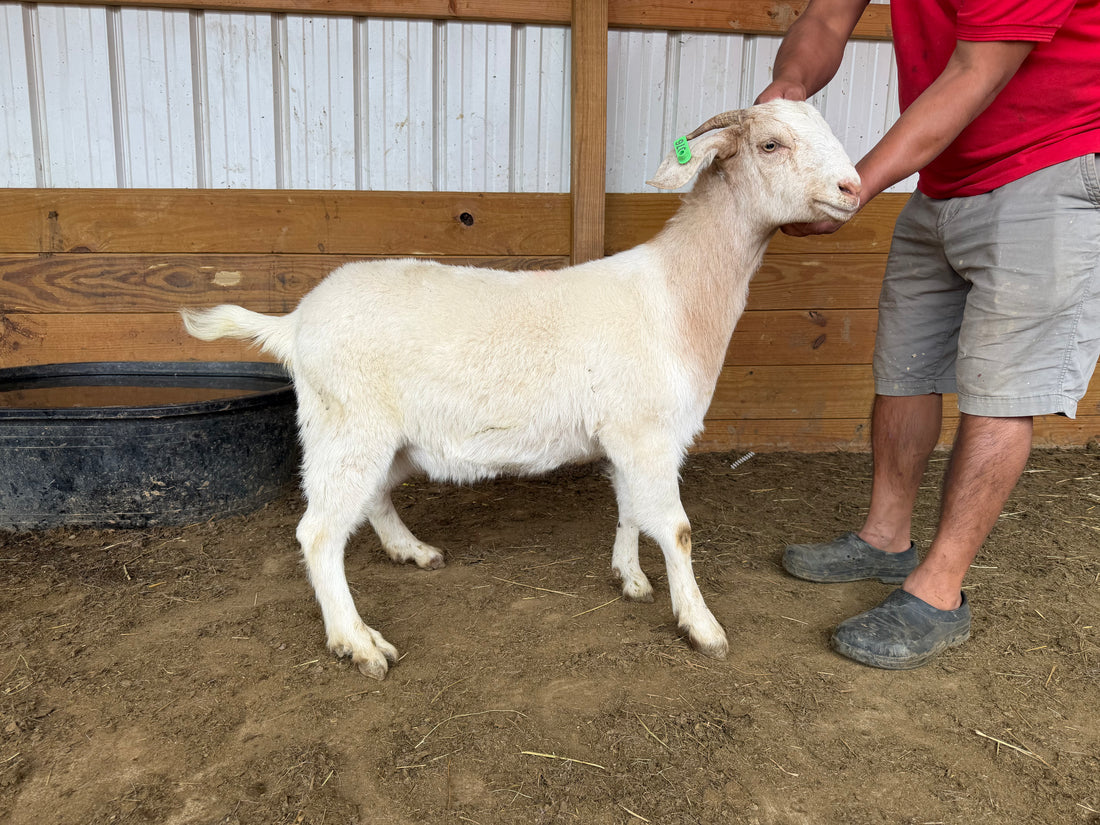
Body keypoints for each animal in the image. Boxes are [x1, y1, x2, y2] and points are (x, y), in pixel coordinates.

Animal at [182, 99, 860, 679]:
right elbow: (675, 528)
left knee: (369, 500)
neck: (675, 297)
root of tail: (294, 323)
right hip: (347, 422)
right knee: (319, 533)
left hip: (384, 438)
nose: (853, 189)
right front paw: (701, 625)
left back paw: (412, 551)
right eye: (771, 144)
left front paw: (629, 578)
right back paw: (358, 642)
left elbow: (629, 508)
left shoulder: (625, 436)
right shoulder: (647, 431)